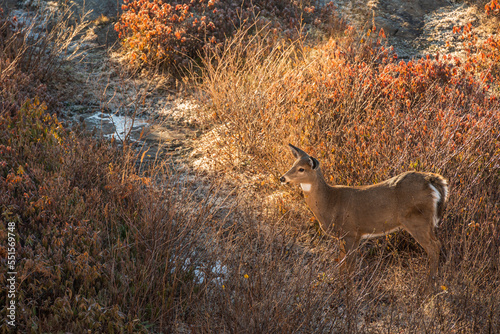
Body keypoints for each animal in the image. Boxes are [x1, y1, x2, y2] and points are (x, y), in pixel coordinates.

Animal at [278, 144, 450, 280]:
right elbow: (341, 265)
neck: (330, 203)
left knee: (433, 248)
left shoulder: (351, 232)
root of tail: (432, 180)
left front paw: (348, 292)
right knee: (437, 244)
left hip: (417, 221)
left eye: (301, 169)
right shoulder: (346, 236)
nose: (282, 178)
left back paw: (428, 287)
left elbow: (349, 267)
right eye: (293, 164)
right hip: (427, 223)